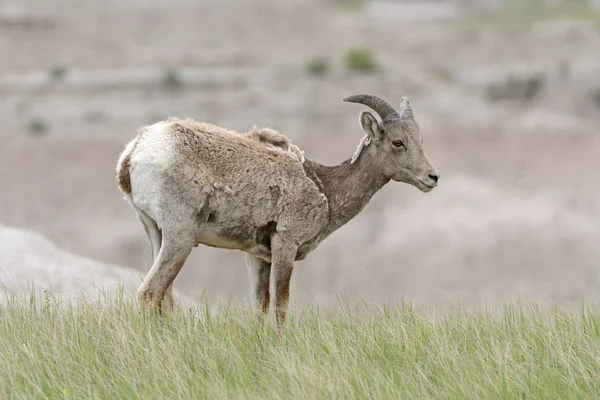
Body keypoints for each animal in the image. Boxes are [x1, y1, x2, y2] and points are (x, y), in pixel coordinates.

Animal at [115, 94, 438, 324]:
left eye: (420, 140)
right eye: (397, 142)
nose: (431, 178)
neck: (324, 188)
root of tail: (136, 150)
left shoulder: (257, 257)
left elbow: (261, 306)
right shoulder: (285, 245)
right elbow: (280, 307)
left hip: (155, 233)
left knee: (164, 299)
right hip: (180, 237)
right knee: (149, 294)